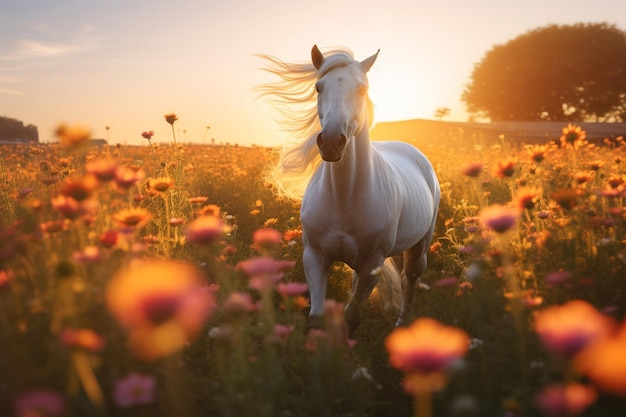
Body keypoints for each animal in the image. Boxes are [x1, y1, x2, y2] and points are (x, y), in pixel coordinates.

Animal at [258, 44, 438, 334]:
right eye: (318, 87)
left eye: (362, 89)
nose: (332, 142)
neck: (344, 198)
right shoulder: (314, 256)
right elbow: (318, 315)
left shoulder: (373, 264)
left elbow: (352, 315)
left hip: (419, 249)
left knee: (408, 279)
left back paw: (401, 325)